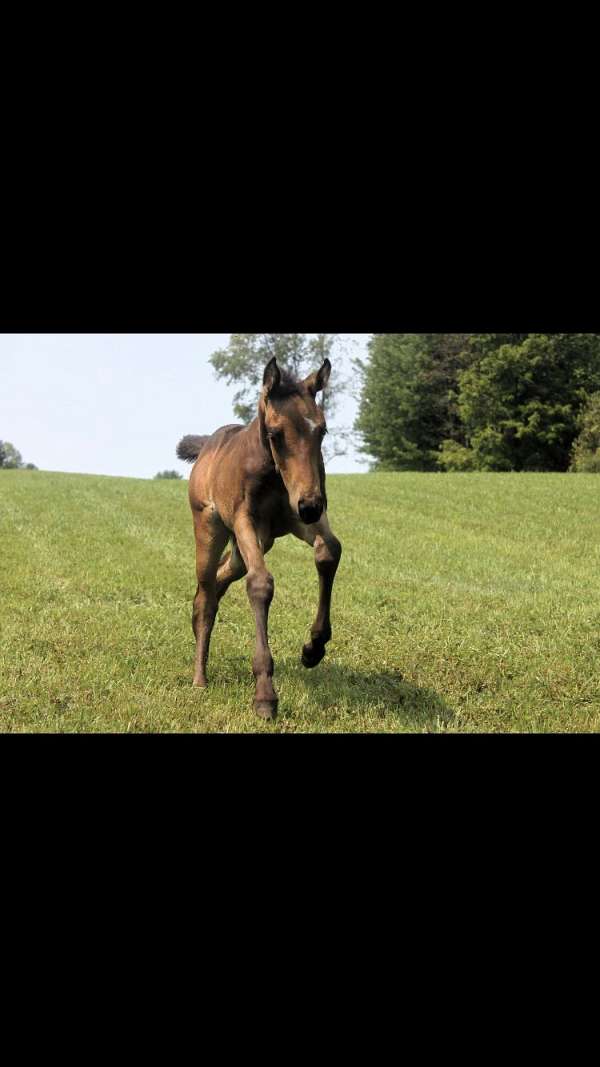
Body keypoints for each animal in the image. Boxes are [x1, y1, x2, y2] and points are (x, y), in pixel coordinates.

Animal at [175, 354, 341, 721]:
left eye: (321, 430)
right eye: (275, 433)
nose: (311, 504)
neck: (272, 474)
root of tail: (207, 445)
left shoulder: (296, 518)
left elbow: (329, 550)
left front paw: (313, 648)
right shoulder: (245, 520)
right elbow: (261, 583)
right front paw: (265, 694)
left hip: (254, 544)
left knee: (221, 579)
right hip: (210, 528)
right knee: (206, 592)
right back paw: (199, 679)